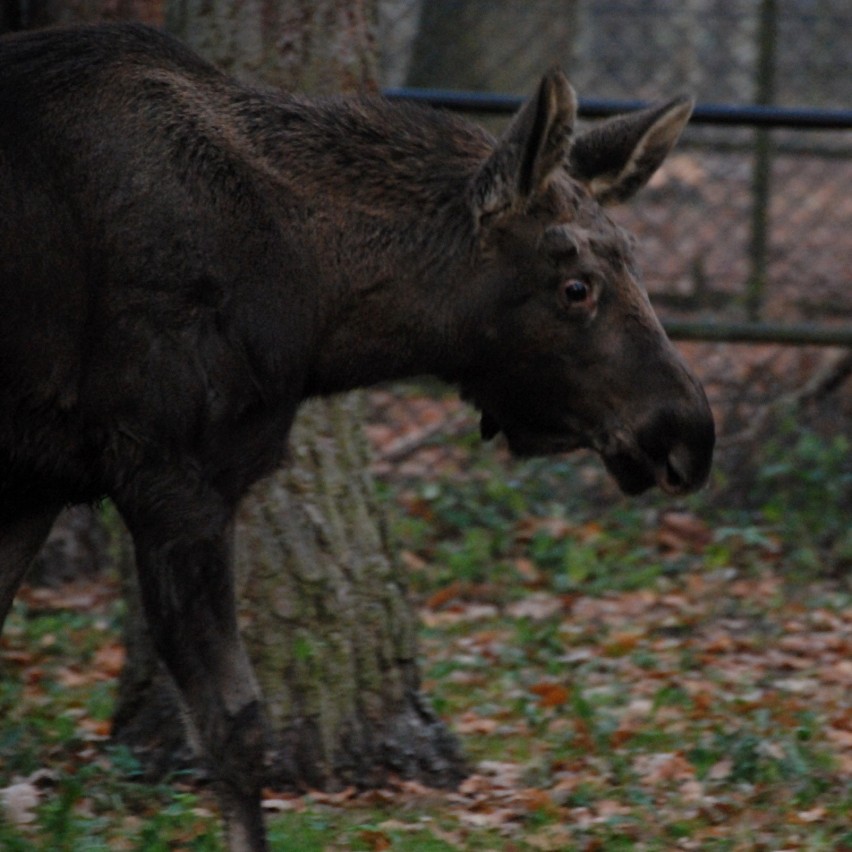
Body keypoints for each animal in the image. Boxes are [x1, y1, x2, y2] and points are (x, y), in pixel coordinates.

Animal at [0, 23, 716, 852]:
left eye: (634, 258)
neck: (312, 310)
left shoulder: (36, 483)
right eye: (576, 286)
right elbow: (237, 730)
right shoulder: (171, 481)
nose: (690, 431)